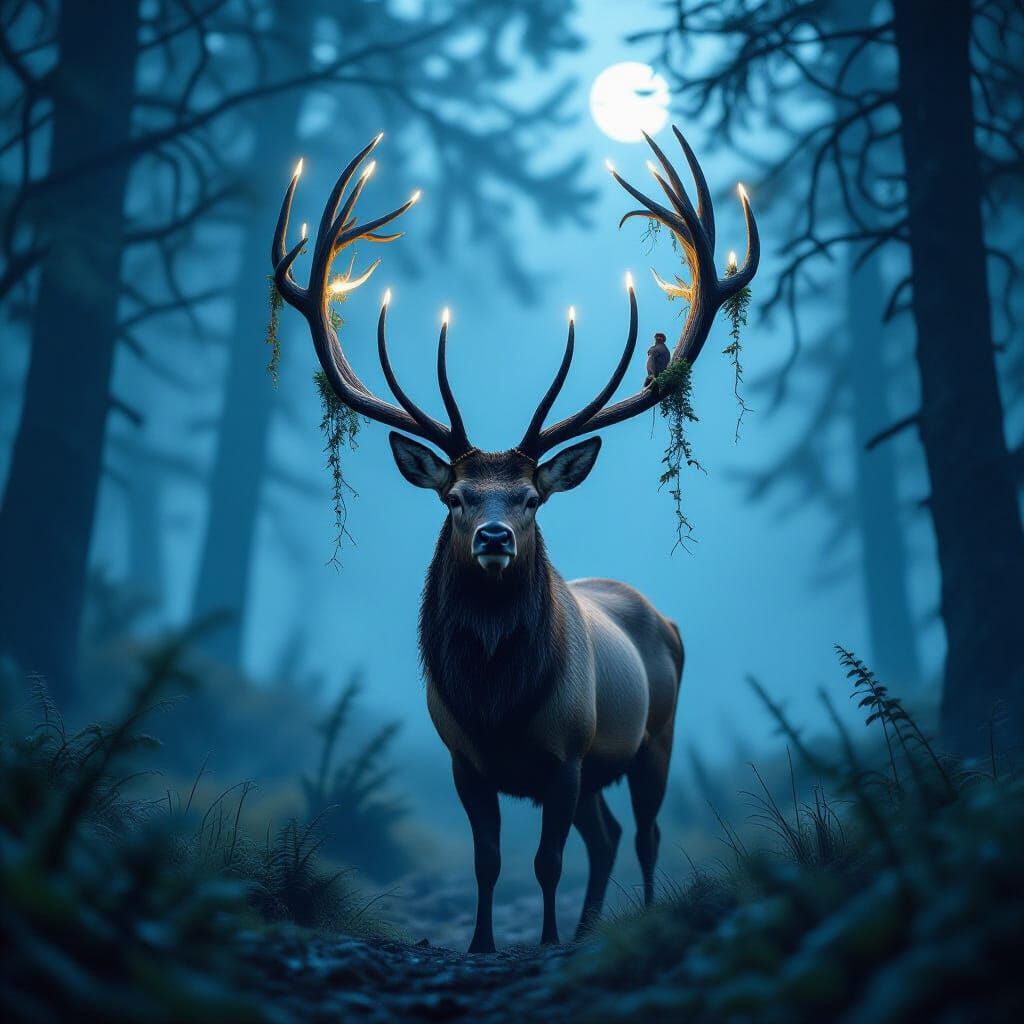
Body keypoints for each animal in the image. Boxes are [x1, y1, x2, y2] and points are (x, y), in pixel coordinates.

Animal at [271, 127, 759, 953]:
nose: (495, 535)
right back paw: (591, 927)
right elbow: (490, 861)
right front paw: (482, 943)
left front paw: (548, 939)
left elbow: (545, 862)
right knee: (609, 836)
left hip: (653, 735)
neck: (498, 703)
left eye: (531, 498)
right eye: (456, 497)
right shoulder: (466, 760)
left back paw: (628, 919)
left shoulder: (566, 751)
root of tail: (658, 613)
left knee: (644, 833)